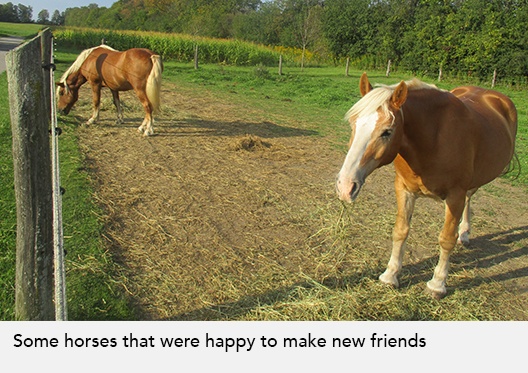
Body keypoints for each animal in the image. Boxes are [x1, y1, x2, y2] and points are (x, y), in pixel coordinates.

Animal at [336, 72, 516, 298]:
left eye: (387, 132)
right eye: (354, 124)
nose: (345, 186)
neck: (433, 139)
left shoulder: (455, 195)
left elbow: (446, 238)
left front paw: (437, 284)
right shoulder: (404, 189)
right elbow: (400, 231)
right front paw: (390, 275)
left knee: (469, 198)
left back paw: (463, 234)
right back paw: (464, 235)